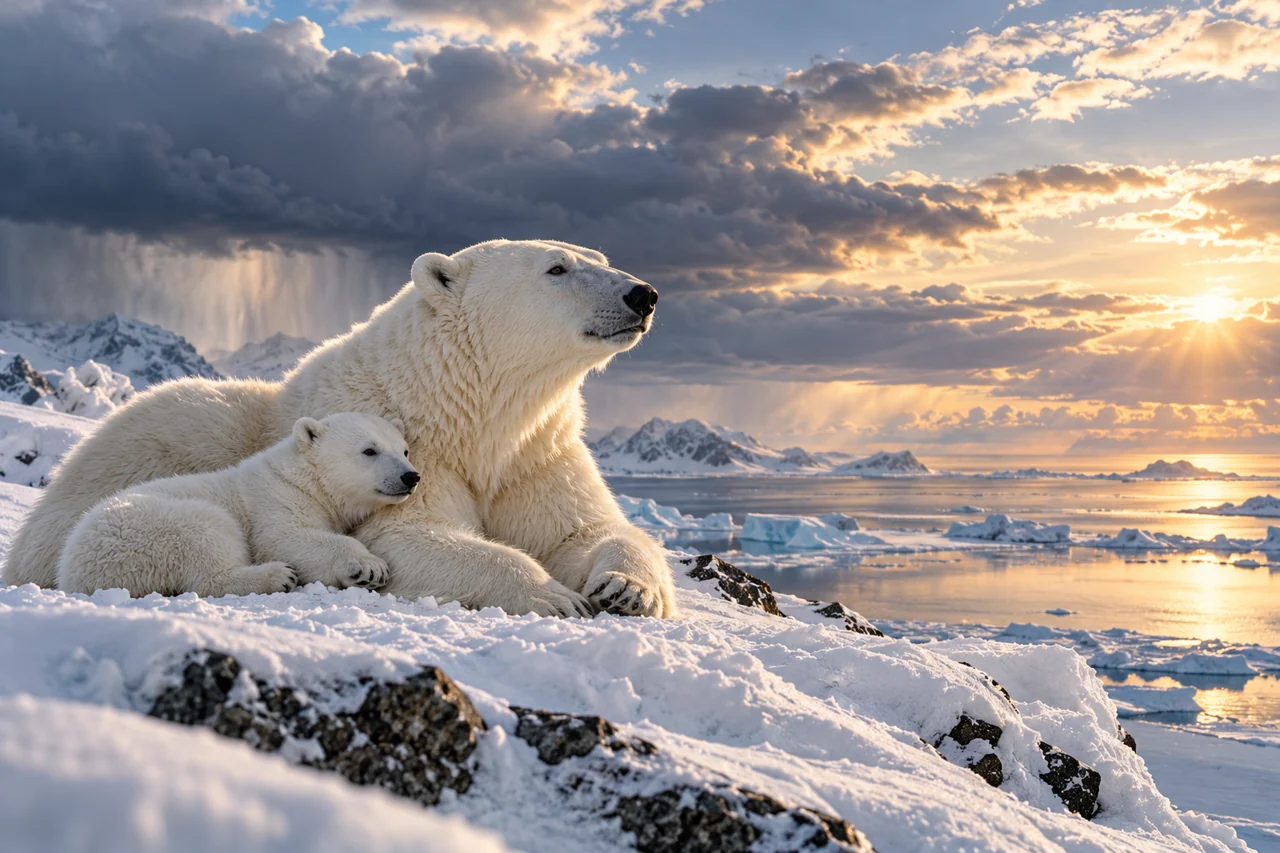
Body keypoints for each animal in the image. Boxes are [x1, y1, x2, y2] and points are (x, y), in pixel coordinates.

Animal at [55, 412, 420, 598]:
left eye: (404, 450)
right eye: (369, 450)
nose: (410, 477)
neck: (307, 479)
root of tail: (73, 573)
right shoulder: (275, 500)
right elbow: (284, 537)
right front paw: (369, 566)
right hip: (150, 530)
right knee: (207, 541)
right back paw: (276, 577)